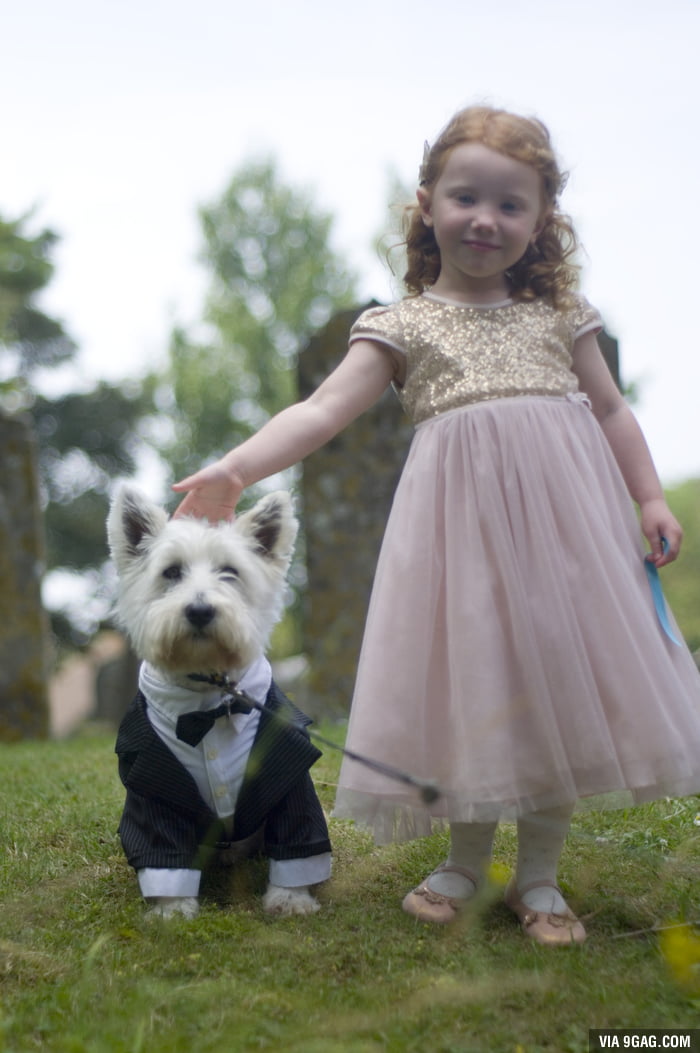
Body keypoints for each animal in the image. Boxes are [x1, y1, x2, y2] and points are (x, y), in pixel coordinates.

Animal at [105, 488, 330, 918]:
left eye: (230, 571)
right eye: (171, 572)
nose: (199, 610)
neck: (210, 701)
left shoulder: (290, 778)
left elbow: (298, 836)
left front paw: (290, 898)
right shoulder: (152, 791)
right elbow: (162, 849)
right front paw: (173, 909)